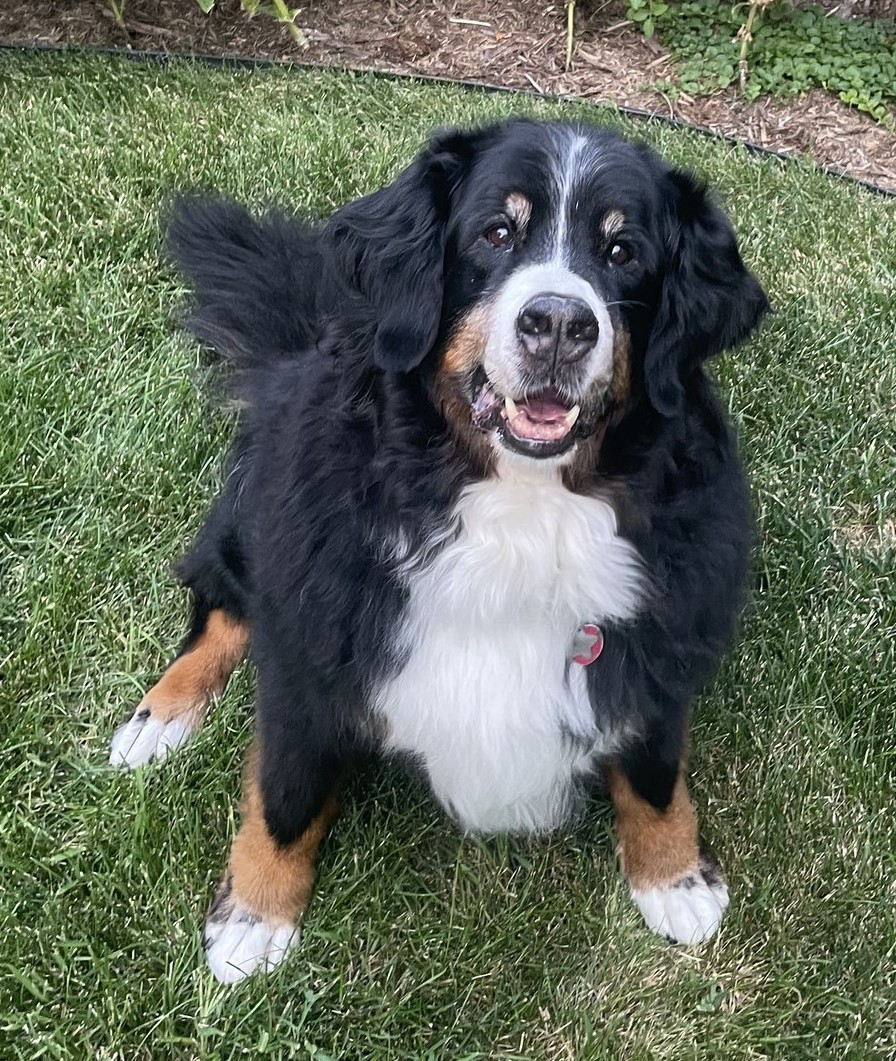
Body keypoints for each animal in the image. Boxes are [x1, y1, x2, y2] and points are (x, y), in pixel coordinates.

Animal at [109, 118, 768, 984]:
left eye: (624, 251)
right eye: (496, 234)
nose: (560, 323)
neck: (522, 511)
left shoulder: (660, 644)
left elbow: (654, 773)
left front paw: (674, 877)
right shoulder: (308, 649)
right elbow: (287, 792)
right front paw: (255, 914)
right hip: (249, 519)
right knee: (219, 606)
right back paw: (160, 716)